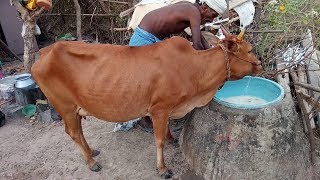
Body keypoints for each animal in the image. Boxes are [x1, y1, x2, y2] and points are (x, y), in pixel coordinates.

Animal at [31, 28, 262, 178]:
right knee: (73, 132)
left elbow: (167, 132)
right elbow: (158, 141)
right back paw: (91, 162)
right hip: (65, 106)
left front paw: (172, 138)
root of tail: (44, 51)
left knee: (78, 131)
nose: (260, 65)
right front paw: (163, 169)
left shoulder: (167, 109)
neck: (195, 70)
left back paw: (91, 152)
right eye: (250, 50)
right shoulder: (159, 108)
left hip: (74, 108)